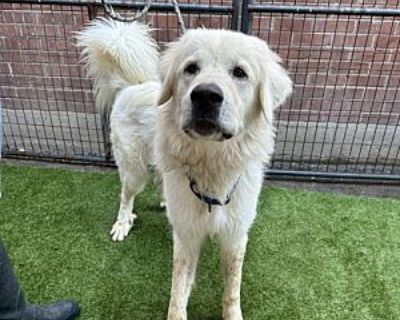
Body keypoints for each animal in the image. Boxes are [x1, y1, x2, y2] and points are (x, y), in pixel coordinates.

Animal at [77, 20, 290, 320]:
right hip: (134, 170)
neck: (212, 163)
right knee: (126, 195)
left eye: (240, 72)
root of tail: (132, 86)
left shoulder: (235, 236)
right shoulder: (187, 238)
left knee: (159, 182)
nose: (206, 95)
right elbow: (178, 289)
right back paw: (122, 222)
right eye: (191, 68)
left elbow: (232, 289)